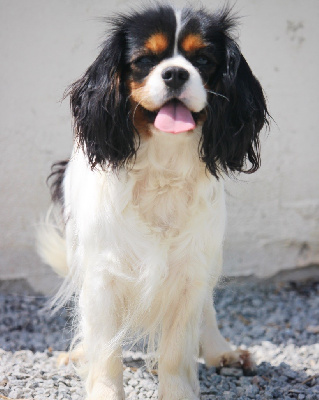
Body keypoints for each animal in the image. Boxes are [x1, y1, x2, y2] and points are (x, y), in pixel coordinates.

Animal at [37, 3, 268, 400]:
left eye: (203, 60)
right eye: (145, 60)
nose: (175, 73)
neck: (164, 164)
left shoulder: (189, 272)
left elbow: (177, 351)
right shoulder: (103, 274)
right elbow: (106, 350)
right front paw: (102, 387)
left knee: (207, 310)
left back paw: (220, 351)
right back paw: (79, 352)